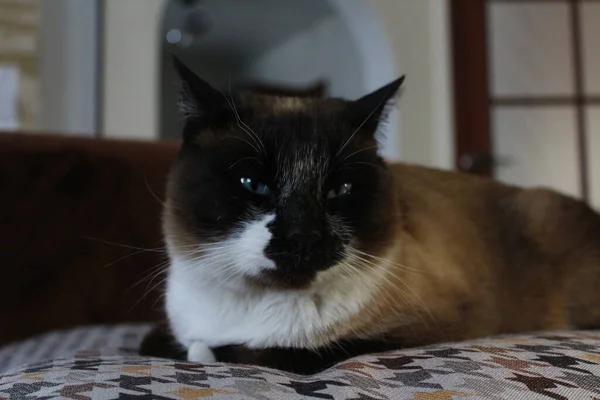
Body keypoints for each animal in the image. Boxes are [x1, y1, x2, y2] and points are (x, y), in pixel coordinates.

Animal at [138, 58, 600, 376]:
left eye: (339, 190)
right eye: (253, 183)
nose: (304, 236)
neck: (252, 308)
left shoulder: (419, 329)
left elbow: (273, 353)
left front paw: (214, 351)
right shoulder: (164, 331)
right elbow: (157, 342)